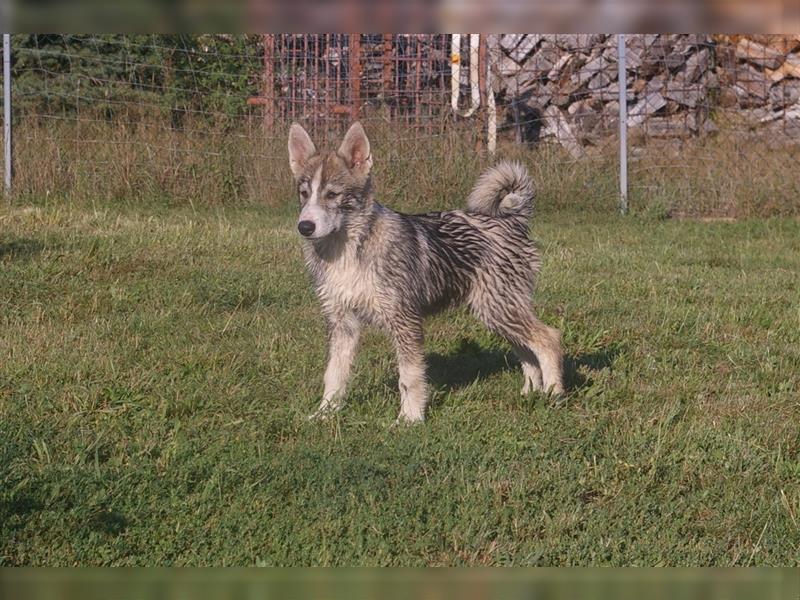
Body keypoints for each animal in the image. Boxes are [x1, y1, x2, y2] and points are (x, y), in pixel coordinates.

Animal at [288, 120, 564, 422]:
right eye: (304, 193)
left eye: (333, 194)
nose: (305, 227)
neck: (348, 250)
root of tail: (514, 220)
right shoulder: (342, 323)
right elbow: (334, 375)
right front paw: (325, 414)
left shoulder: (405, 321)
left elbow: (409, 378)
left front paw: (410, 419)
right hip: (496, 313)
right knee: (527, 351)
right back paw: (530, 393)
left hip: (499, 308)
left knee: (548, 339)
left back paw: (553, 393)